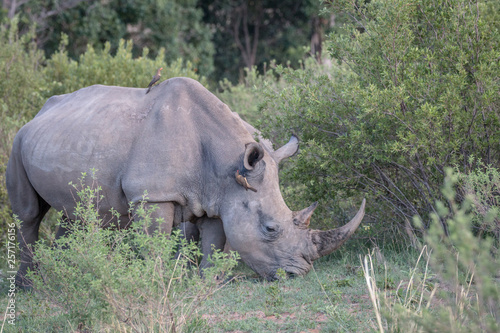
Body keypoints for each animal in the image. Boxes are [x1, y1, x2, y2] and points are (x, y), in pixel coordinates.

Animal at [5, 76, 366, 286]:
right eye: (270, 228)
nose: (298, 274)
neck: (229, 162)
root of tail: (37, 113)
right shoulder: (152, 194)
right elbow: (155, 241)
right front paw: (156, 282)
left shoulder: (219, 195)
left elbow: (214, 240)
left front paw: (209, 282)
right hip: (18, 142)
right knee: (29, 215)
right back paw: (28, 284)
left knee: (74, 213)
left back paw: (67, 272)